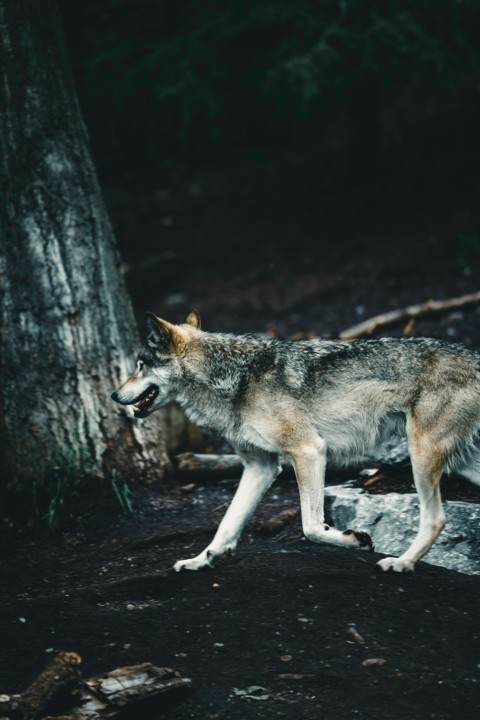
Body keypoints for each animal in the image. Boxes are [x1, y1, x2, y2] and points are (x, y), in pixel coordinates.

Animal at [111, 310, 480, 573]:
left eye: (140, 365)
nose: (114, 395)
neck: (234, 380)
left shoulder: (309, 451)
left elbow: (311, 527)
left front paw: (356, 539)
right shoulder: (259, 467)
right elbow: (226, 525)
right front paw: (201, 560)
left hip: (422, 456)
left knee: (435, 518)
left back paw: (402, 562)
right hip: (459, 463)